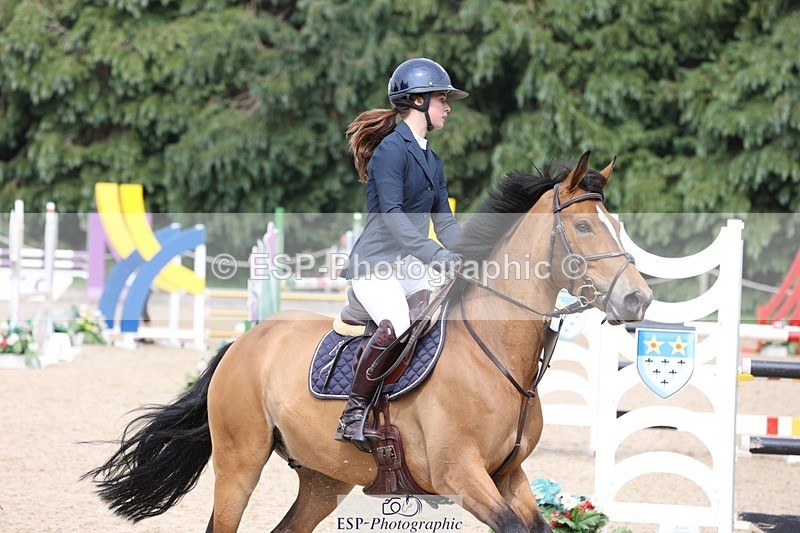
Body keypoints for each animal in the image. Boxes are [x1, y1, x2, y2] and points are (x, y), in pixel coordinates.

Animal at [84, 151, 652, 532]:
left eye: (615, 225)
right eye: (583, 227)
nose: (638, 299)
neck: (494, 356)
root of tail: (244, 343)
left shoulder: (509, 475)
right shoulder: (459, 475)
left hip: (322, 477)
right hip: (239, 462)